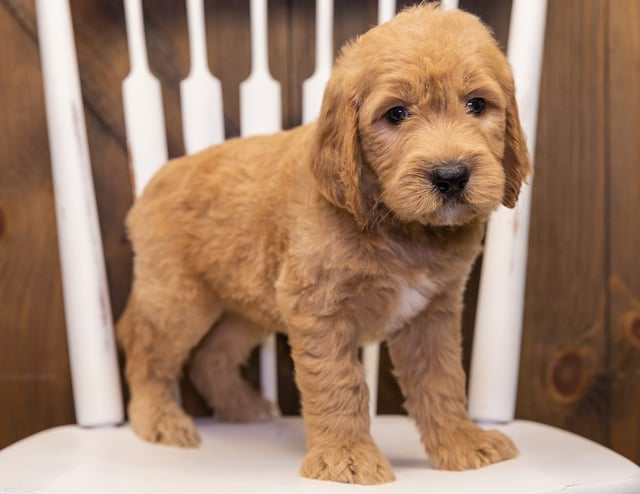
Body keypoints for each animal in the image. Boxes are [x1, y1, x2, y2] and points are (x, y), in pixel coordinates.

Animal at [115, 1, 528, 484]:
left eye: (477, 104)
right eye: (396, 114)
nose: (450, 176)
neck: (396, 225)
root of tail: (156, 179)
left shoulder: (431, 314)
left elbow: (442, 380)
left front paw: (463, 442)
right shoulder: (317, 306)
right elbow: (338, 382)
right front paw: (346, 457)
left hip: (246, 306)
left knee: (210, 356)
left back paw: (242, 407)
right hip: (178, 300)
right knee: (143, 346)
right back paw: (158, 418)